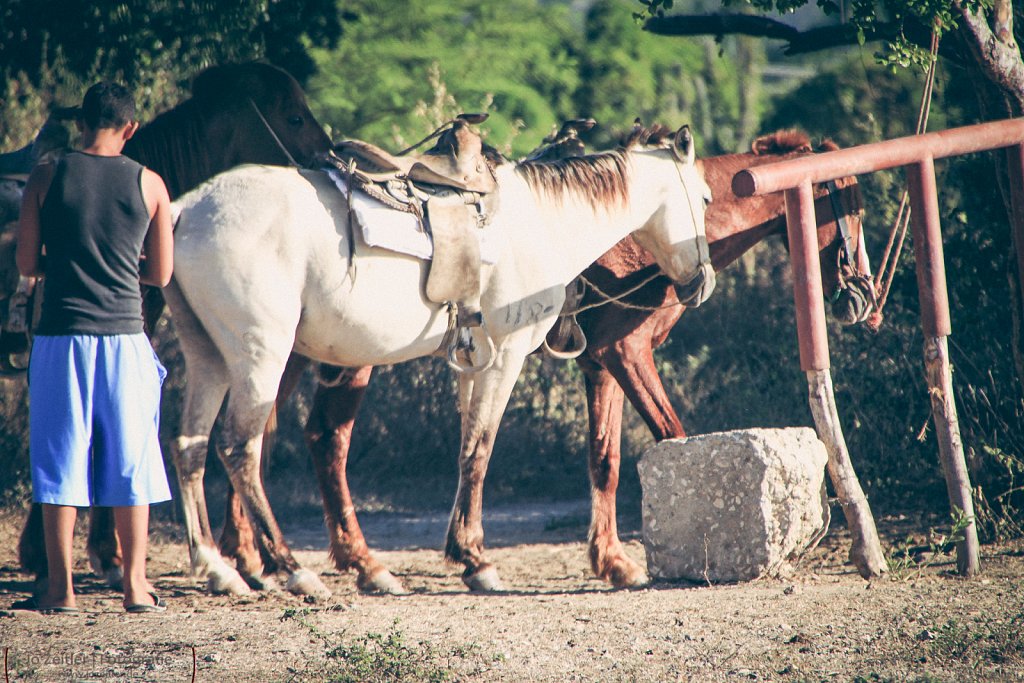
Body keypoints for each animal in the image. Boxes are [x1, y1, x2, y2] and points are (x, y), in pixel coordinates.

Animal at [207, 127, 872, 593]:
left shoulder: (587, 362)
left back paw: (256, 557)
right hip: (326, 357)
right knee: (311, 439)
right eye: (849, 205)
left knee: (265, 436)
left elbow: (600, 457)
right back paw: (313, 561)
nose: (860, 295)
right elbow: (658, 435)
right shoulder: (611, 354)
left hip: (289, 355)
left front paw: (612, 560)